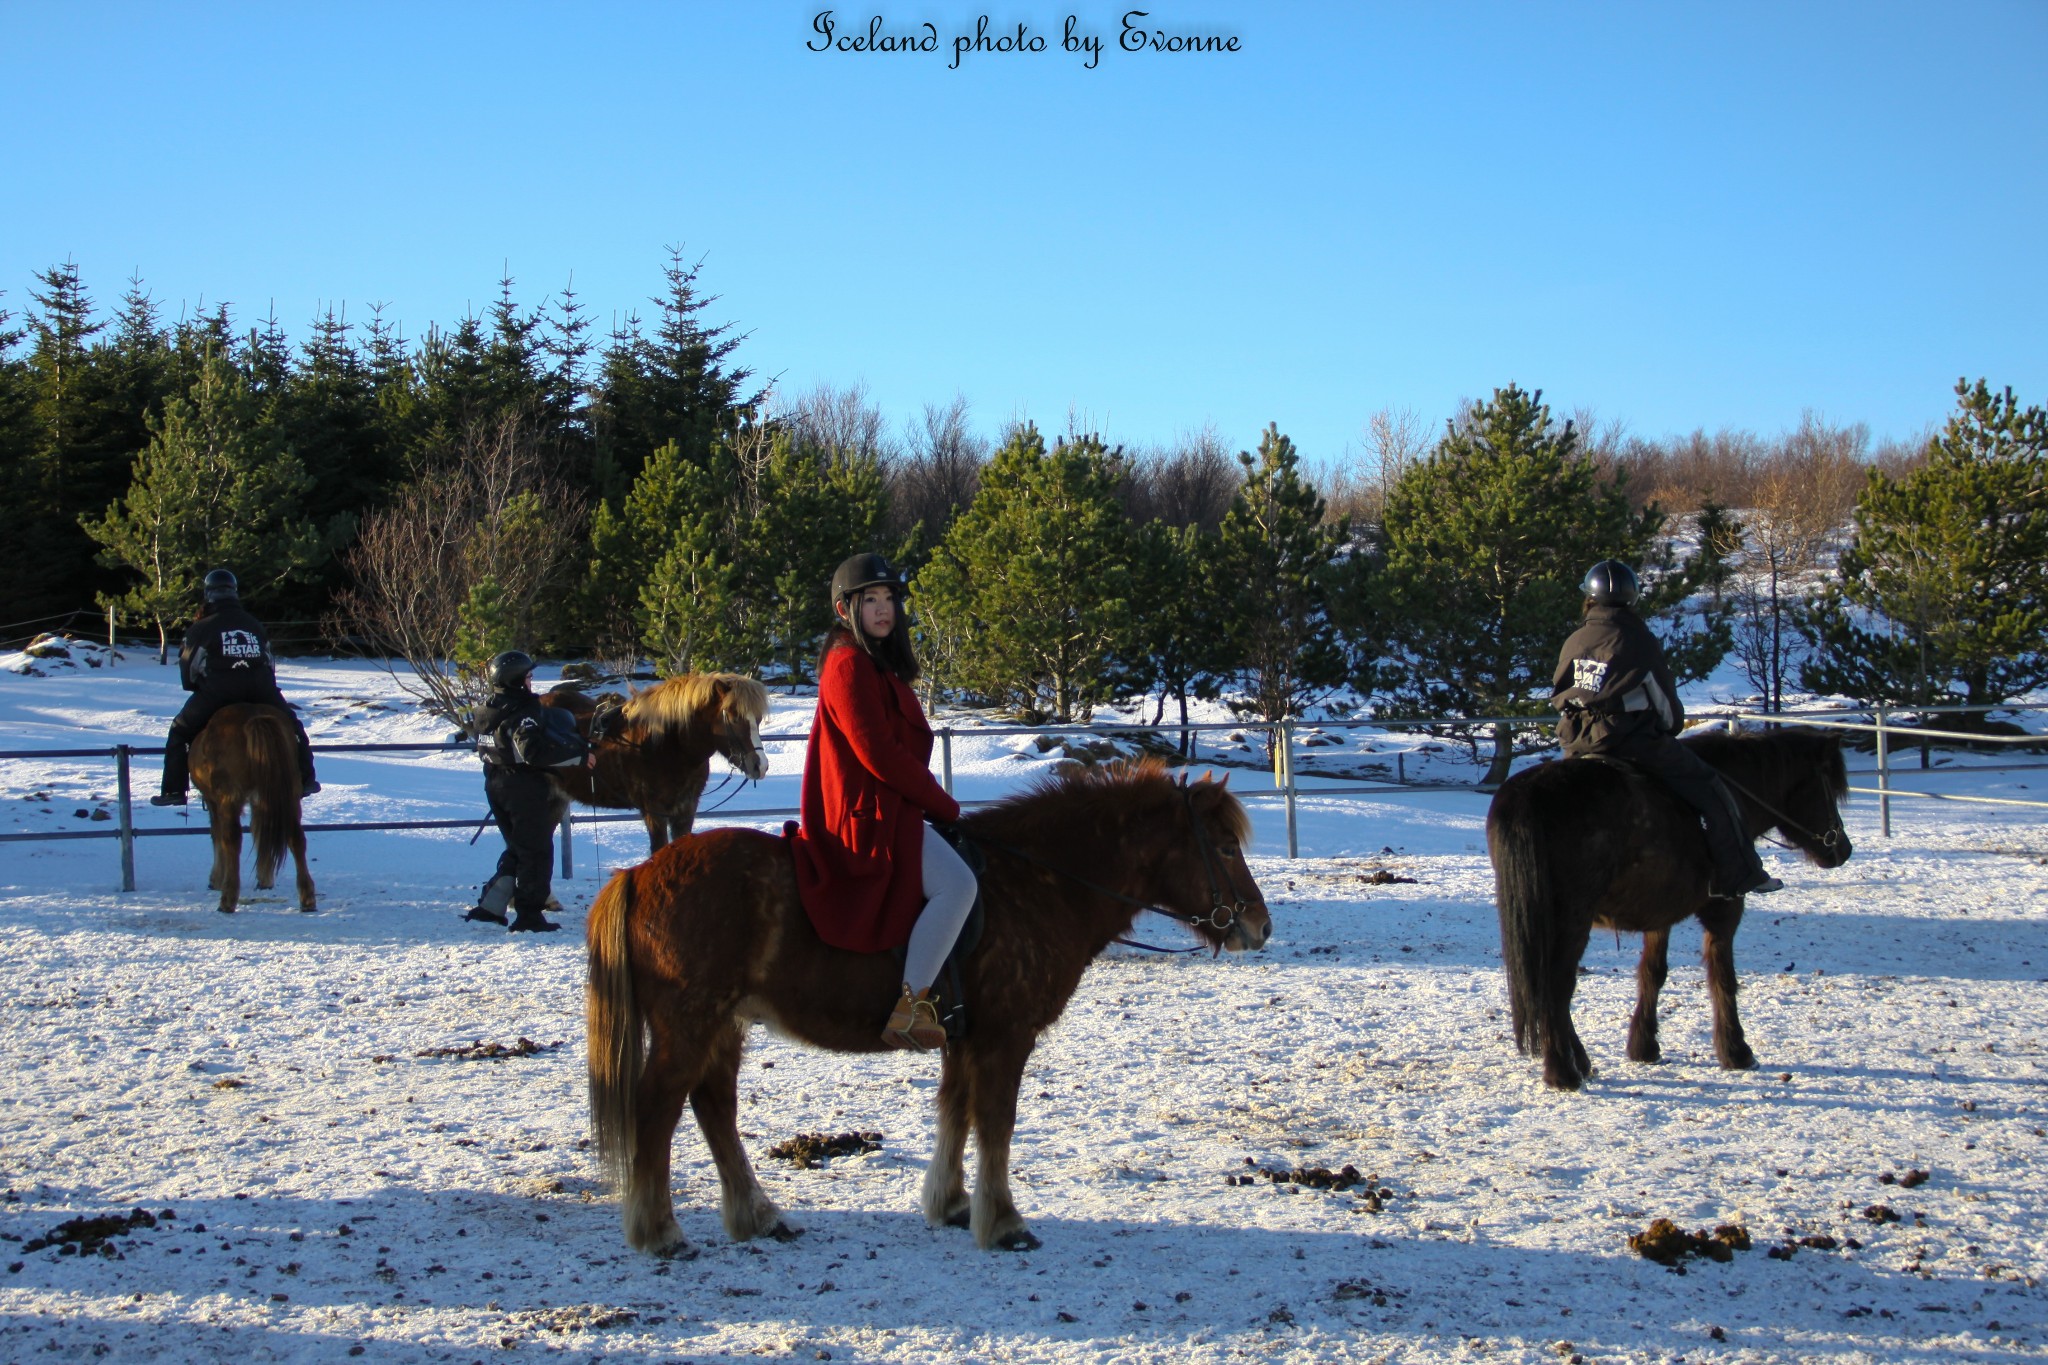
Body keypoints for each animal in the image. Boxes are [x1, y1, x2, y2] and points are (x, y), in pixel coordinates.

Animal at [191, 703, 317, 916]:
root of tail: (255, 717)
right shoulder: (262, 800)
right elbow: (260, 829)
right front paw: (265, 879)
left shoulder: (214, 801)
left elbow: (217, 835)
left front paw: (216, 879)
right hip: (289, 797)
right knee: (296, 838)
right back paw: (307, 899)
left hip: (229, 799)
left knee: (231, 839)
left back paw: (227, 900)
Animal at [540, 671, 770, 855]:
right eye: (733, 717)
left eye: (758, 719)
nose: (760, 766)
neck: (668, 745)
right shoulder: (654, 811)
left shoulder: (685, 810)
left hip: (556, 800)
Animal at [585, 757, 1269, 1260]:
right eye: (1223, 848)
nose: (1259, 927)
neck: (1037, 883)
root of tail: (640, 872)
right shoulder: (1005, 1036)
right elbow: (996, 1122)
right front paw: (1004, 1222)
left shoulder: (964, 1036)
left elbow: (956, 1112)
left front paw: (952, 1204)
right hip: (688, 1024)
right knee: (658, 1109)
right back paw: (661, 1232)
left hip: (723, 1024)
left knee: (714, 1108)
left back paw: (758, 1215)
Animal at [1490, 732, 1859, 1096]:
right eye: (1829, 789)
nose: (1843, 849)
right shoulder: (1725, 909)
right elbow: (1723, 976)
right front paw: (1736, 1051)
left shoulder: (1658, 915)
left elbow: (1652, 973)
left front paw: (1644, 1046)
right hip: (1571, 919)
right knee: (1556, 986)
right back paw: (1562, 1072)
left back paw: (1579, 1062)